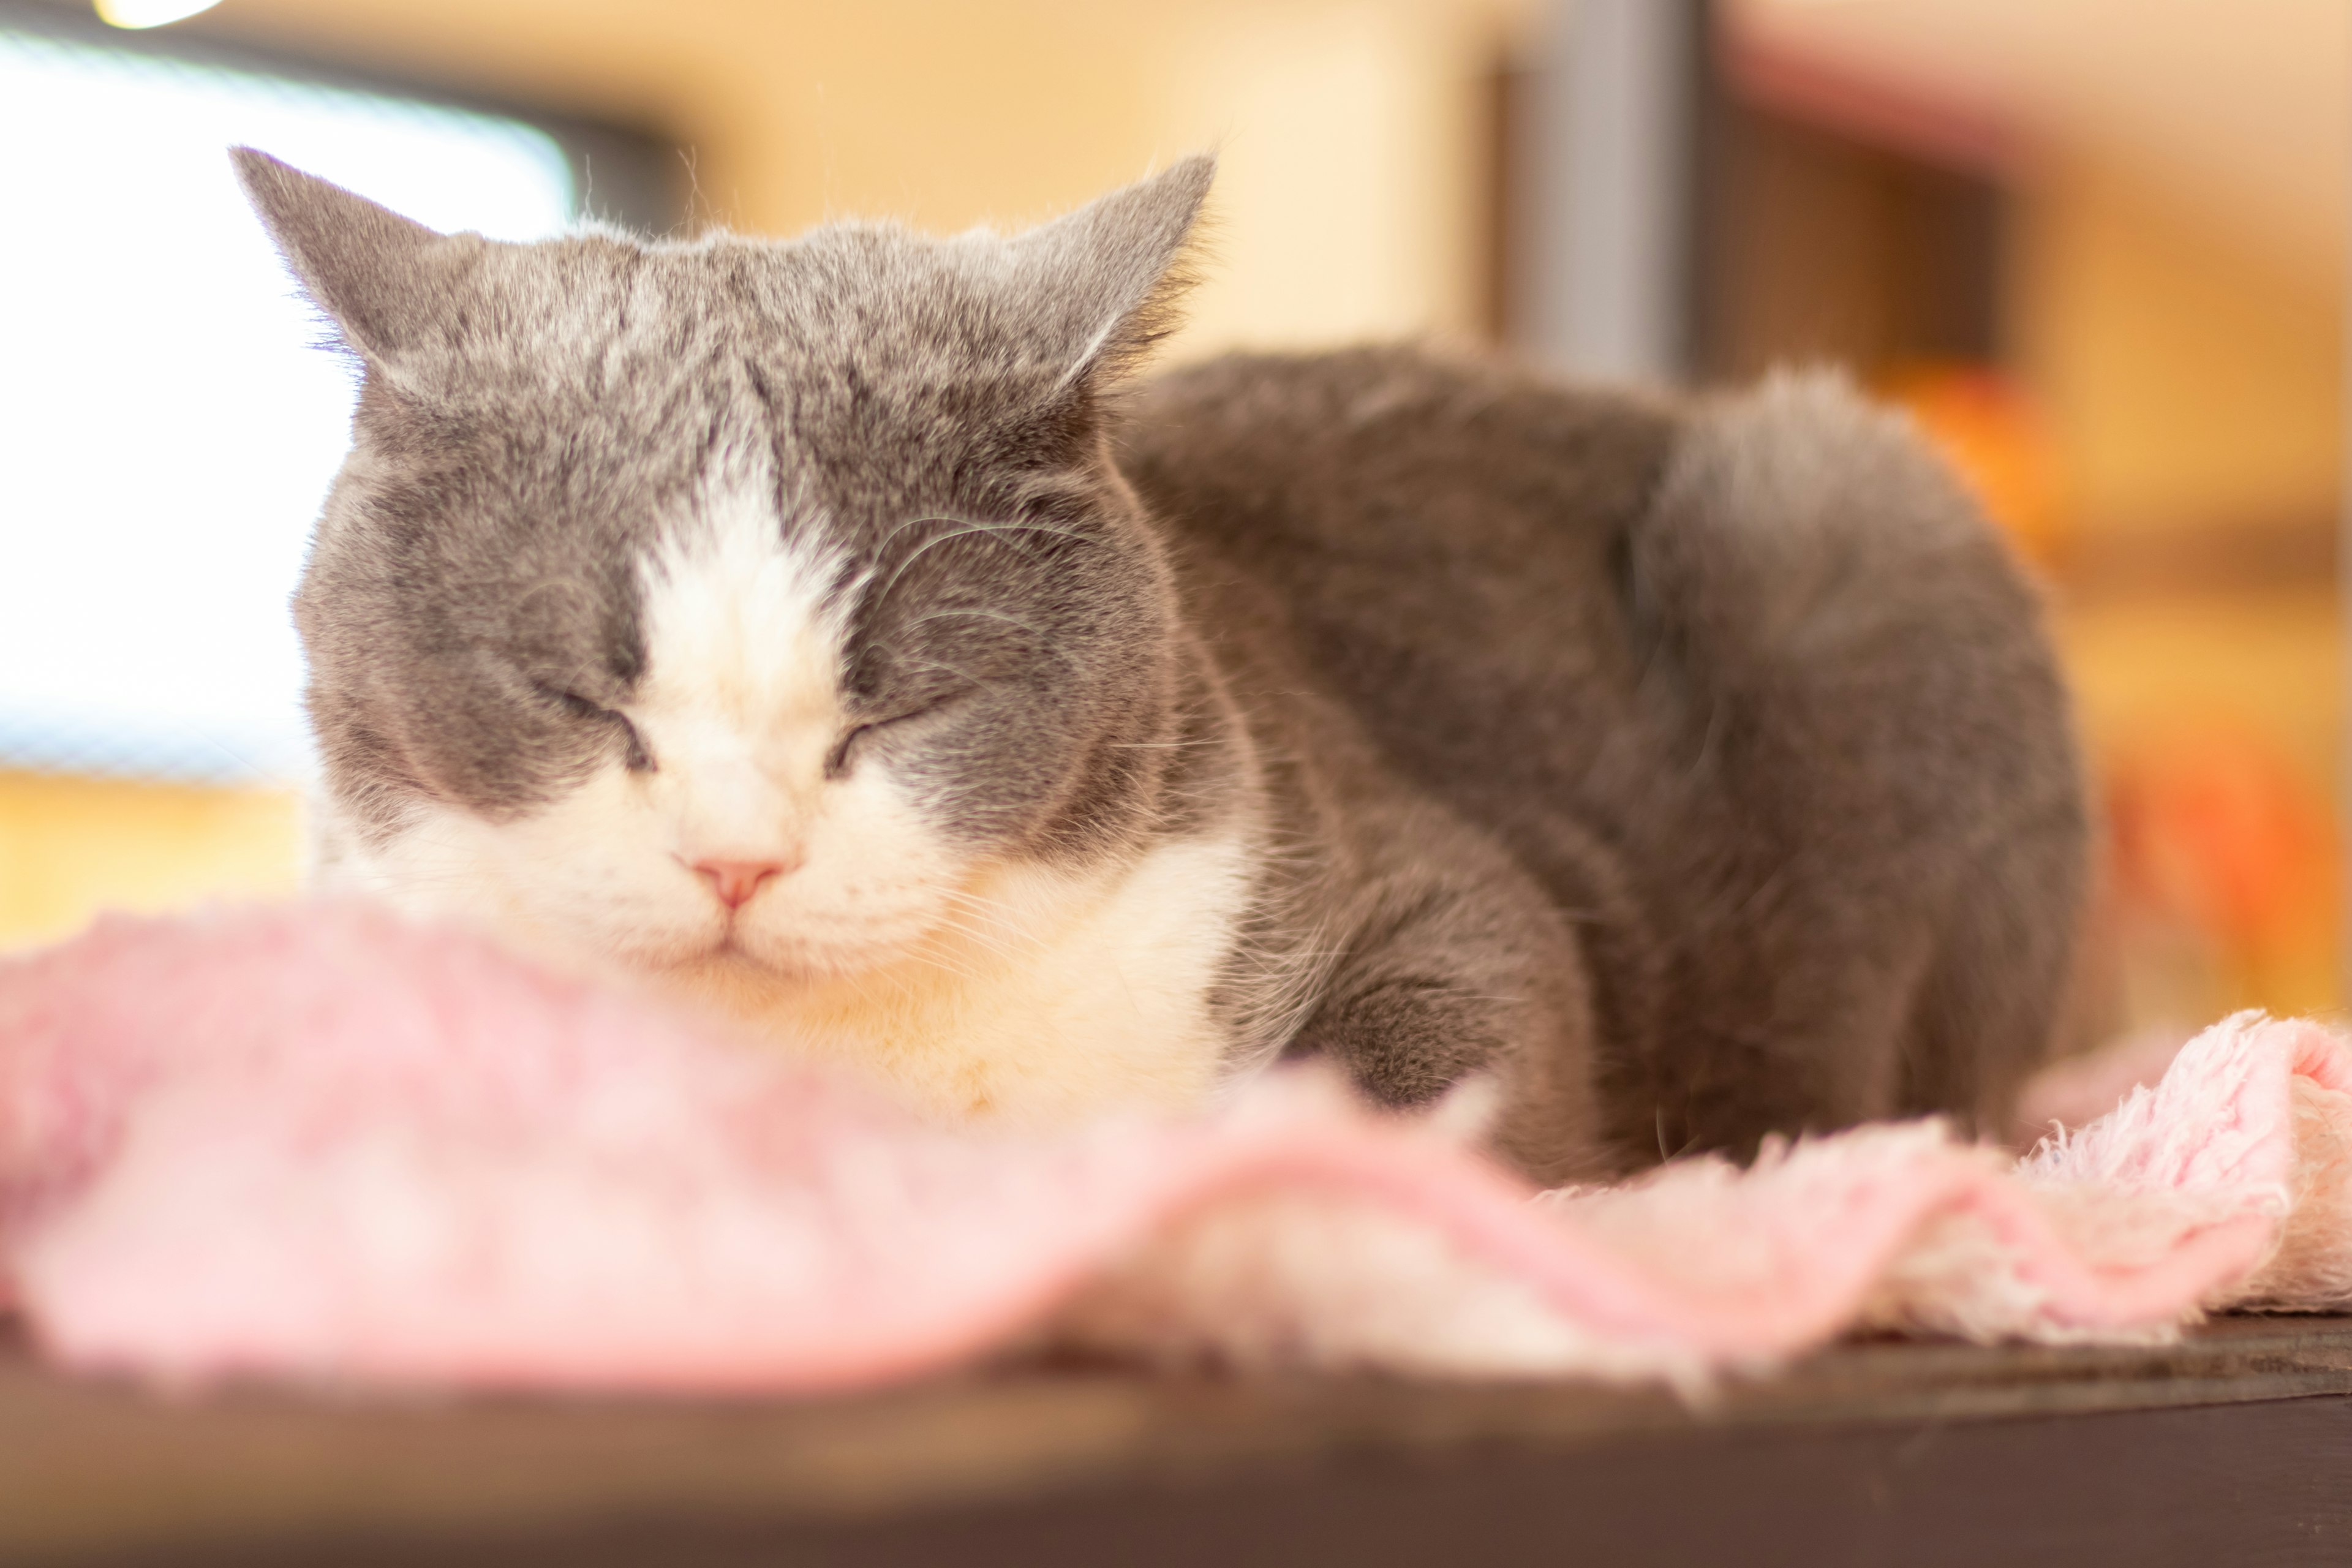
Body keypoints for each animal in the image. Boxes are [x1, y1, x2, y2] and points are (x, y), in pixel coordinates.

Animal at [229, 146, 2088, 1185]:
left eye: (908, 701)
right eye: (576, 696)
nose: (735, 860)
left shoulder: (1418, 871)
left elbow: (1454, 1031)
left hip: (1846, 509)